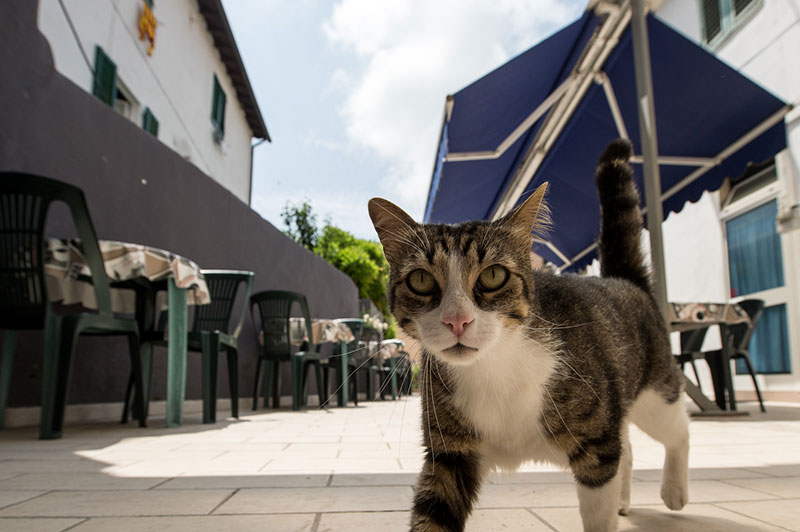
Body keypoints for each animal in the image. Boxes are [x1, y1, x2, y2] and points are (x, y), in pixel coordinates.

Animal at [368, 139, 688, 528]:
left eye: (493, 275)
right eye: (420, 280)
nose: (457, 321)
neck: (492, 370)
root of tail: (623, 280)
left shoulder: (596, 446)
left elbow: (599, 504)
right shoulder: (451, 455)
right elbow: (434, 511)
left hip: (653, 394)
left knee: (677, 429)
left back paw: (674, 489)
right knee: (626, 449)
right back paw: (624, 501)